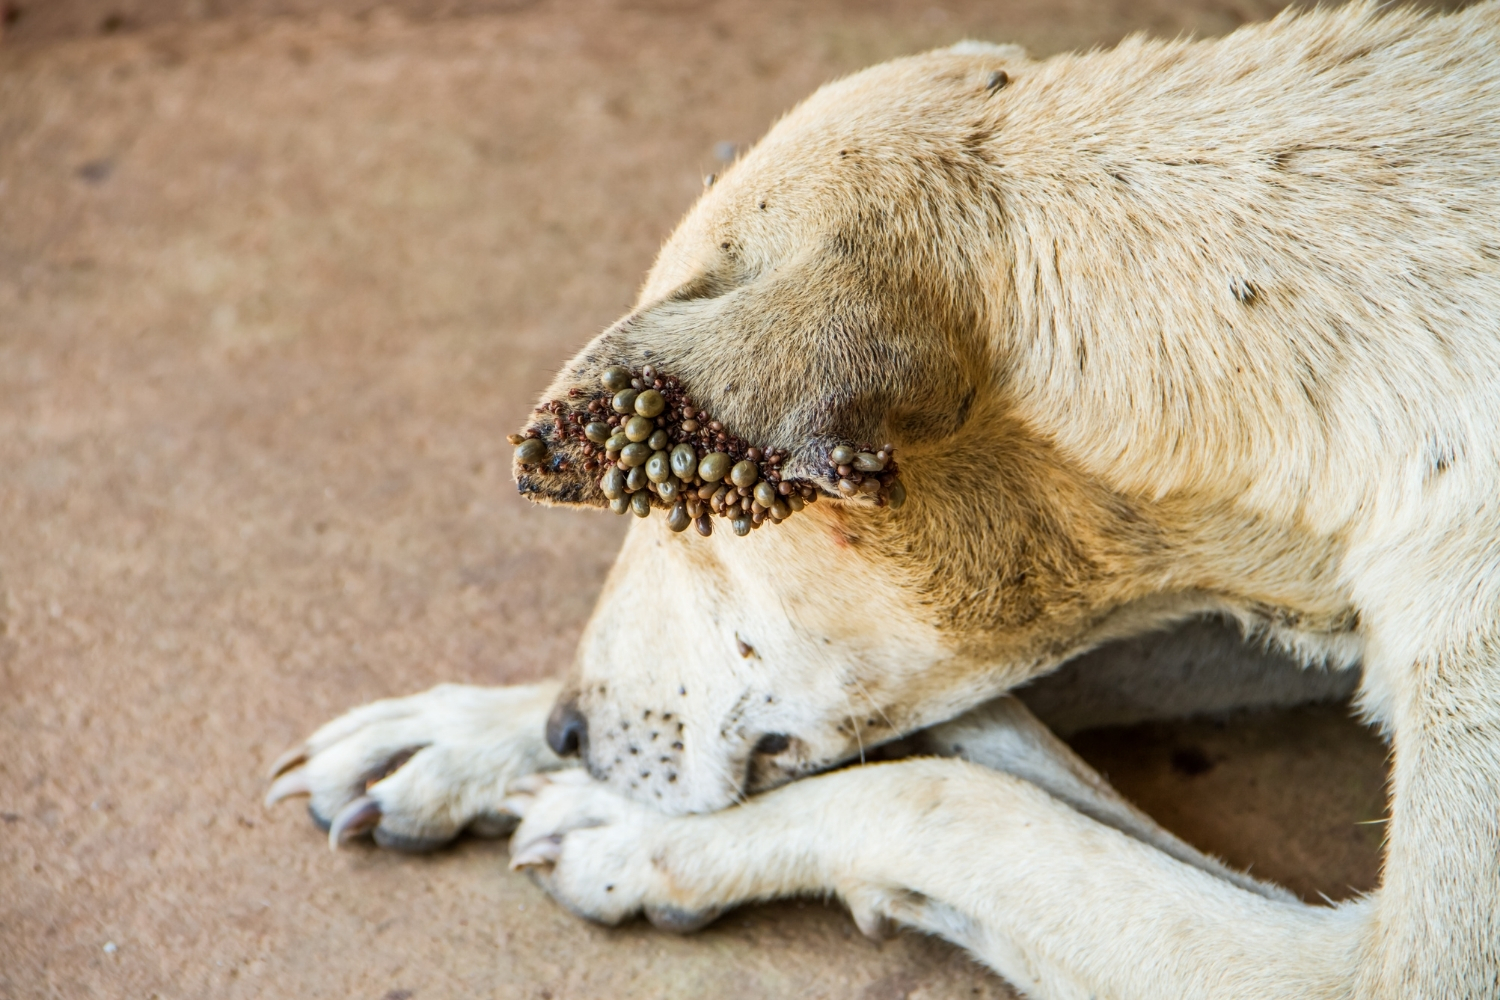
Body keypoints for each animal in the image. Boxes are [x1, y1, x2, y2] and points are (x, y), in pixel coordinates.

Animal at [267, 5, 1500, 995]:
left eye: (675, 523)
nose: (564, 733)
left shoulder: (1378, 965)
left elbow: (963, 804)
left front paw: (636, 834)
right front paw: (474, 732)